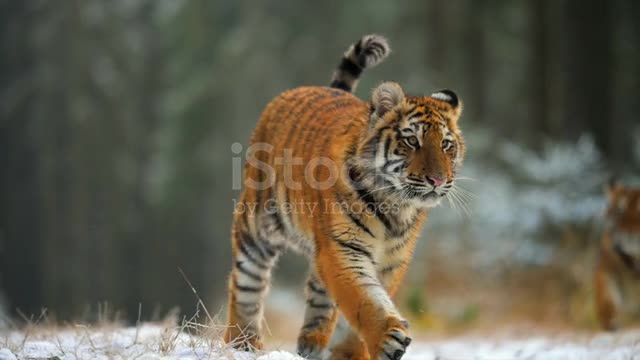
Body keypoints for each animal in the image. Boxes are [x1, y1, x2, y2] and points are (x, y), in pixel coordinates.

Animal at [225, 34, 464, 360]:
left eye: (446, 145)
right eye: (412, 141)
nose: (437, 180)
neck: (396, 206)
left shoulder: (391, 260)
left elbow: (362, 304)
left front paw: (352, 353)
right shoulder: (343, 247)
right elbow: (362, 299)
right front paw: (387, 338)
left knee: (319, 295)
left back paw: (312, 343)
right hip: (257, 227)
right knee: (247, 283)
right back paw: (243, 343)